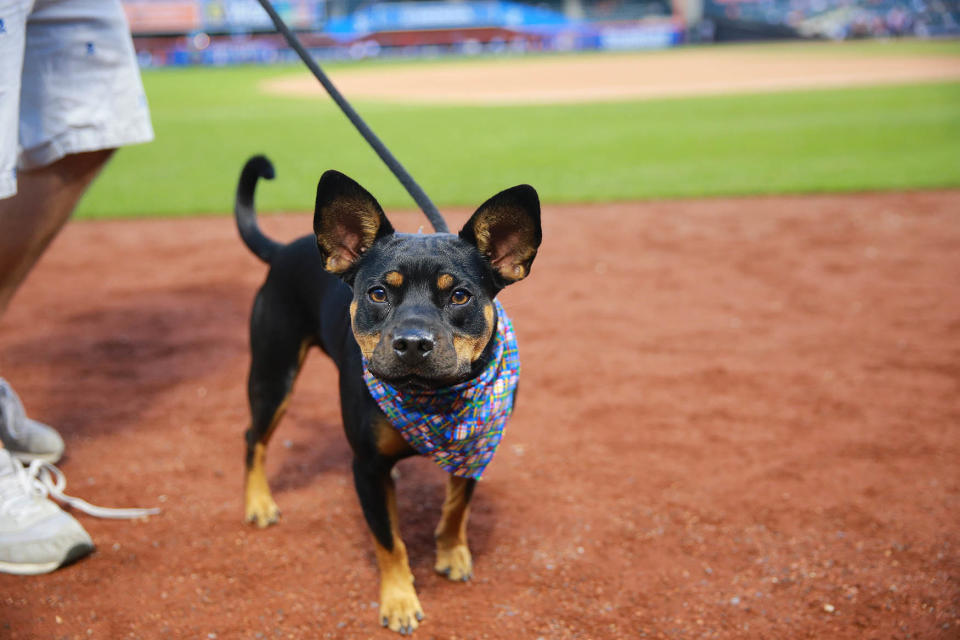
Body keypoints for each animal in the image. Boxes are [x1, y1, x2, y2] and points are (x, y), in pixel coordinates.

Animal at [233, 156, 540, 636]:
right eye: (378, 293)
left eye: (460, 295)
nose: (412, 342)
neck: (433, 399)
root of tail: (283, 250)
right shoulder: (367, 467)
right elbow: (389, 541)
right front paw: (399, 601)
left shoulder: (476, 446)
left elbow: (458, 507)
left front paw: (452, 553)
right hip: (272, 373)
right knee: (253, 438)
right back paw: (259, 503)